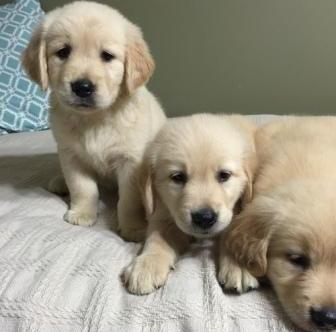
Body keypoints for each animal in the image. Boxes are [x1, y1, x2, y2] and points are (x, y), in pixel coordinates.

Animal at [21, 0, 166, 241]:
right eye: (63, 52)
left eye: (107, 56)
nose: (82, 87)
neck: (94, 119)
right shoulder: (71, 156)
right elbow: (83, 188)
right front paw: (82, 213)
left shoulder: (131, 163)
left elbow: (129, 200)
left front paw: (133, 227)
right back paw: (59, 182)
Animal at [123, 113, 258, 294]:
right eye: (178, 177)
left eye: (224, 175)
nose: (204, 218)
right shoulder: (161, 213)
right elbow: (157, 238)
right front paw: (147, 265)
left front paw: (238, 264)